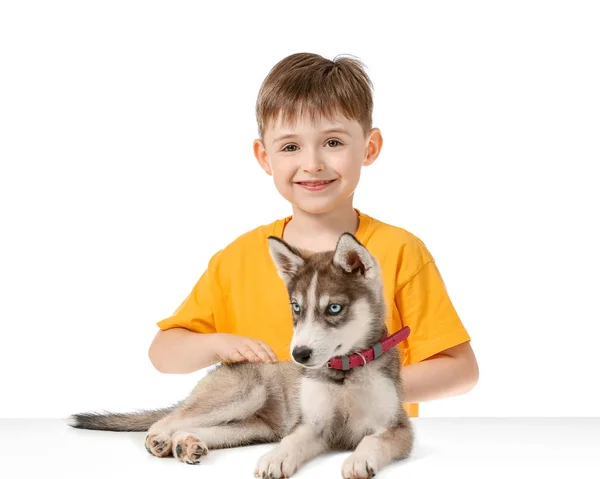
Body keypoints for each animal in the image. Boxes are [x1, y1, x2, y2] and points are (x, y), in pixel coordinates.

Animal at [68, 234, 410, 478]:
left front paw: (359, 459)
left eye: (334, 308)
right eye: (296, 308)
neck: (345, 372)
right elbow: (292, 441)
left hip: (250, 428)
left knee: (195, 427)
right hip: (245, 394)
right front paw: (277, 457)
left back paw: (186, 444)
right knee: (168, 419)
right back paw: (162, 439)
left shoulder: (397, 426)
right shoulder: (312, 424)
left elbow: (373, 440)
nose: (299, 355)